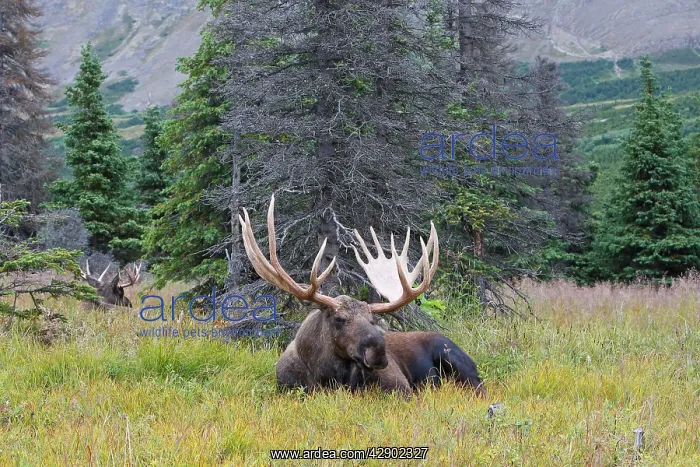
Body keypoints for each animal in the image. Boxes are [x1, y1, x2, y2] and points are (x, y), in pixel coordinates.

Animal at [239, 195, 484, 396]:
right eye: (339, 319)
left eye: (373, 320)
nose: (379, 351)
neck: (324, 375)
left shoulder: (400, 387)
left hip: (458, 362)